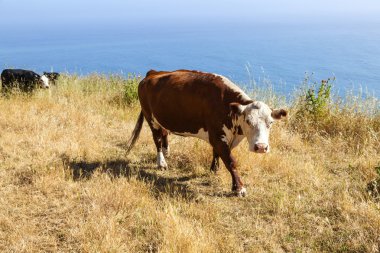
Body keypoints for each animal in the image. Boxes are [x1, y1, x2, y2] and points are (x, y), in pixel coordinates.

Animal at [126, 70, 286, 197]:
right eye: (248, 121)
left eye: (271, 123)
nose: (261, 147)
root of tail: (152, 73)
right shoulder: (217, 135)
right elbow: (231, 161)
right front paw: (239, 188)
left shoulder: (223, 137)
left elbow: (218, 154)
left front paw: (214, 170)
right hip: (150, 117)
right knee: (157, 139)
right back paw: (161, 162)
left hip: (162, 118)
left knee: (164, 133)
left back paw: (167, 153)